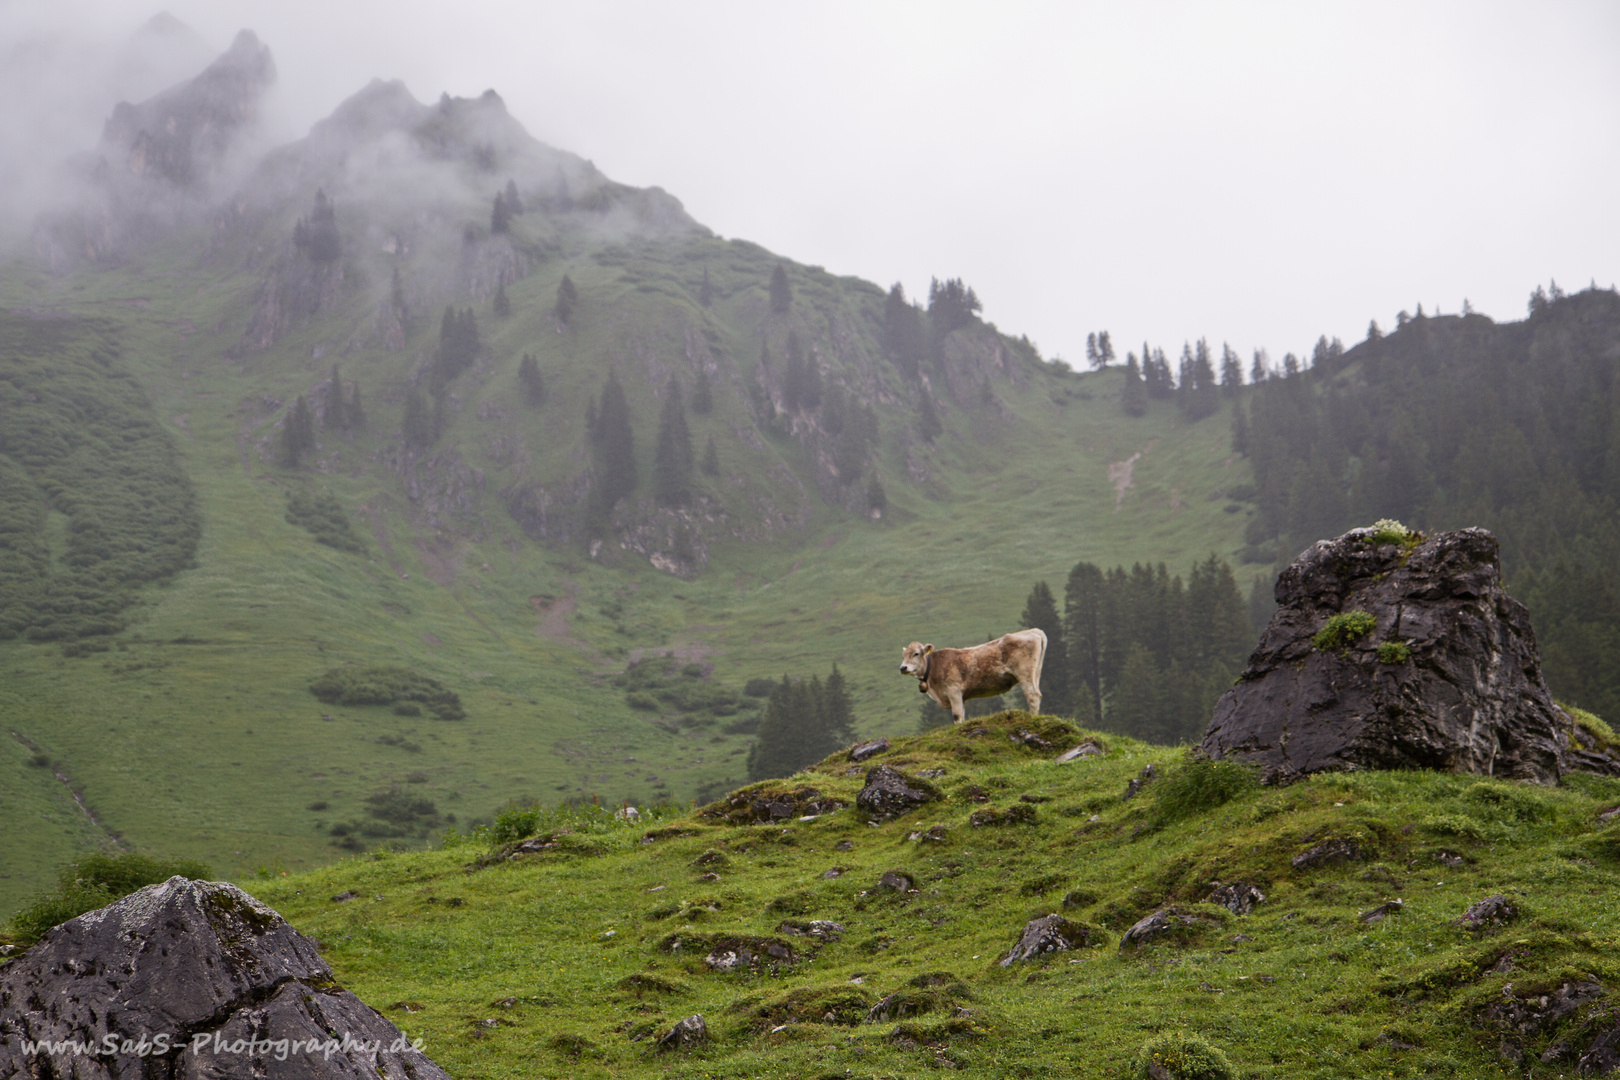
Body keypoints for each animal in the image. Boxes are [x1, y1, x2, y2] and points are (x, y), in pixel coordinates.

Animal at [900, 625, 1049, 725]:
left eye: (916, 653)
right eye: (903, 655)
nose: (903, 667)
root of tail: (1034, 631)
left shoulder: (954, 691)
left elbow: (957, 716)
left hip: (1024, 673)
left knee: (1032, 696)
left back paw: (1032, 718)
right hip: (1036, 673)